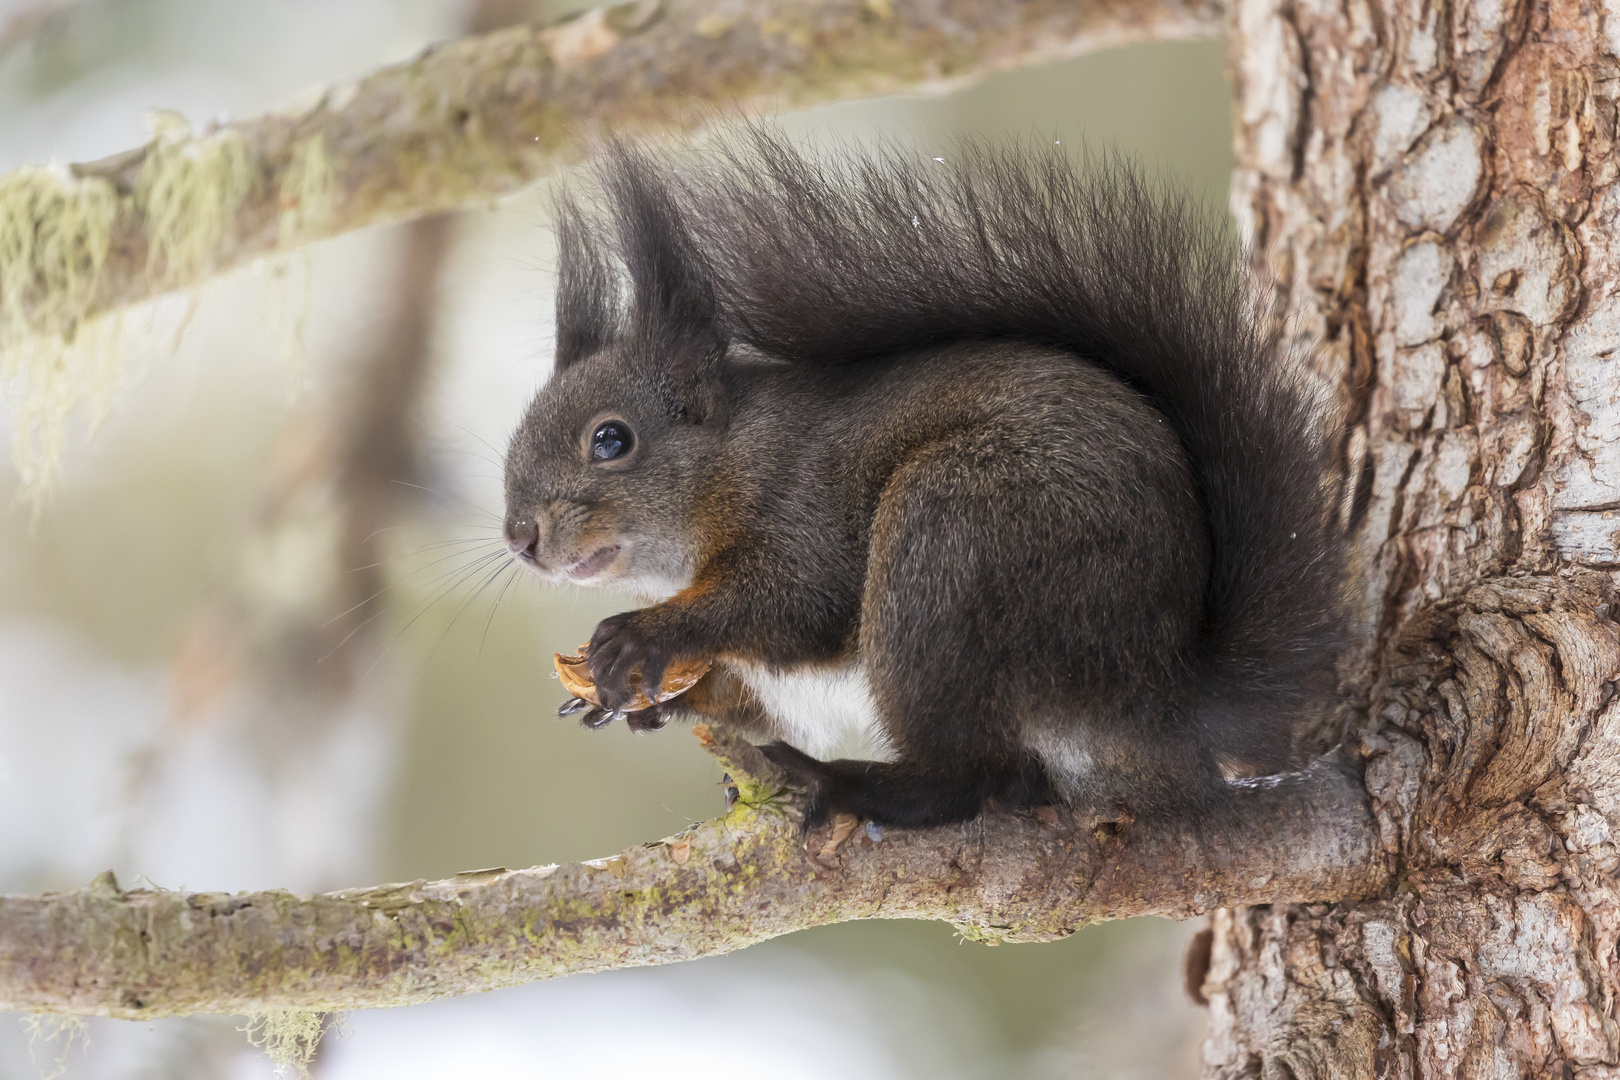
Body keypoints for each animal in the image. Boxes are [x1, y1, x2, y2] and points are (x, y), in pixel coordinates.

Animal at [498, 131, 1347, 835]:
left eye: (611, 440)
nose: (521, 537)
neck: (737, 460)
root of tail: (1163, 696)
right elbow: (755, 692)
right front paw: (650, 696)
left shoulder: (806, 506)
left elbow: (794, 605)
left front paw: (647, 634)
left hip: (952, 545)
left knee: (976, 774)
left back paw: (855, 787)